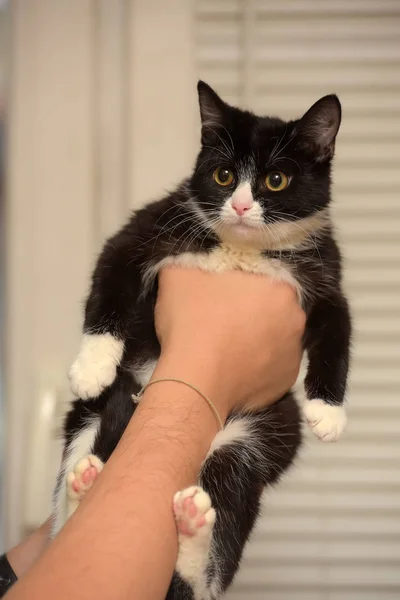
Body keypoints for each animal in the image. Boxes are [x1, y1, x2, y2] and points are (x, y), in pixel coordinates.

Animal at [52, 83, 350, 600]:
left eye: (275, 180)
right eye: (223, 175)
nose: (241, 206)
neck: (241, 247)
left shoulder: (322, 274)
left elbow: (338, 329)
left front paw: (329, 412)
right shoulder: (149, 228)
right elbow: (110, 277)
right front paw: (92, 364)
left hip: (261, 436)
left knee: (210, 567)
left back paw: (192, 530)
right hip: (90, 418)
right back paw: (84, 487)